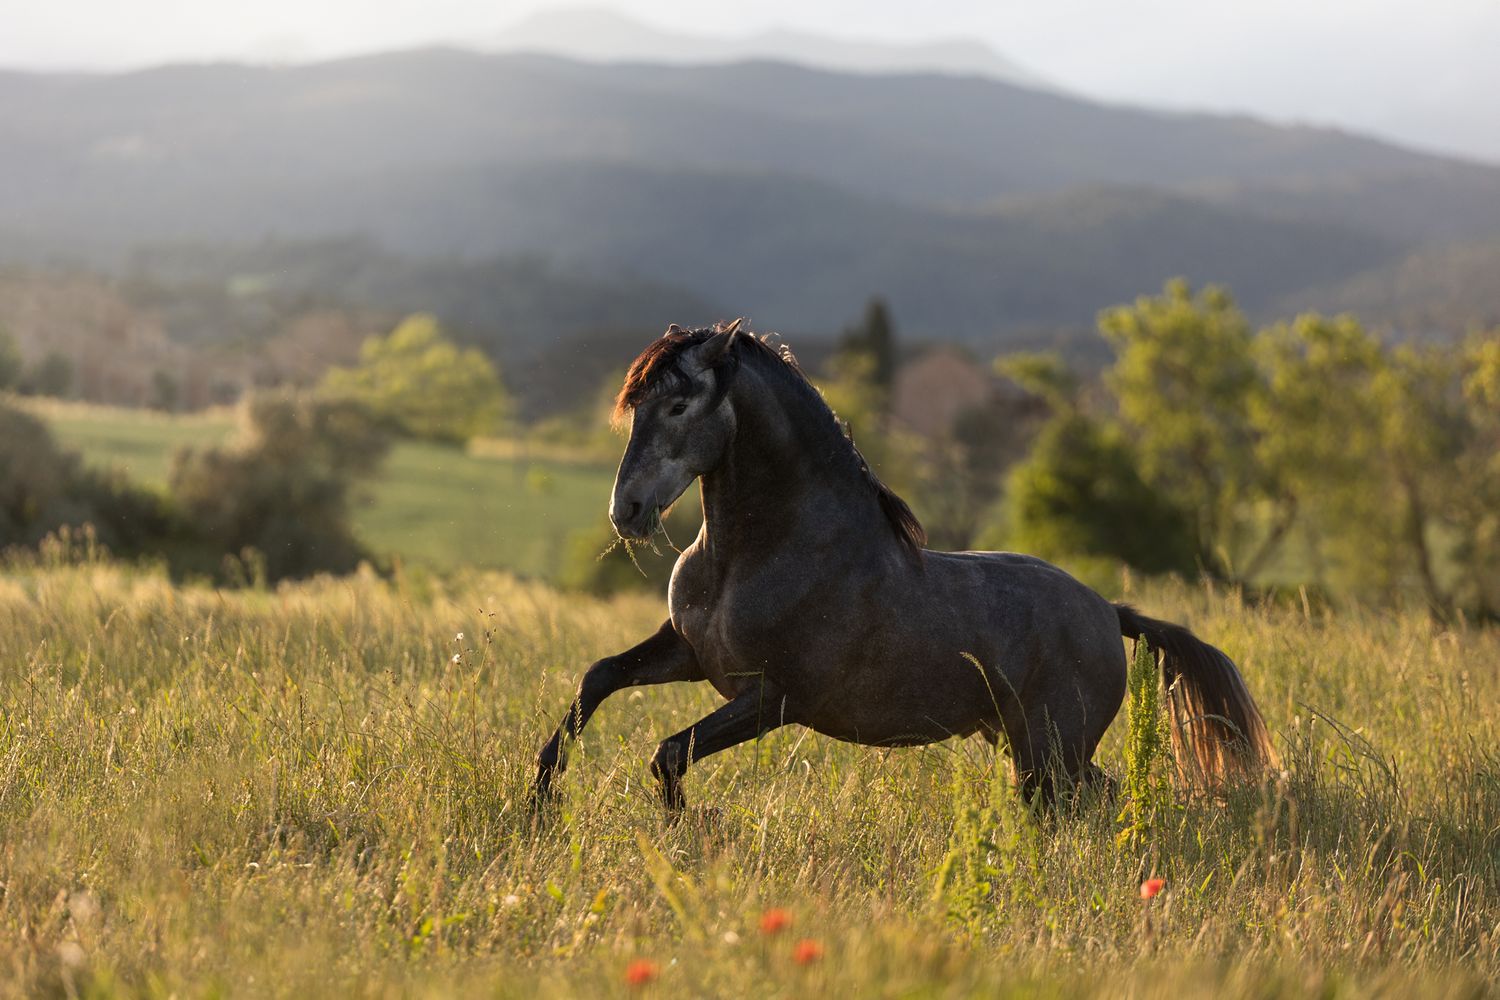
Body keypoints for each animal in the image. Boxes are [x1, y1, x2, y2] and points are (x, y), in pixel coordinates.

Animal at [533, 320, 1276, 813]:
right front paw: (541, 796)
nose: (626, 511)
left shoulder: (775, 698)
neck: (757, 556)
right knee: (1098, 796)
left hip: (1051, 750)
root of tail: (1108, 612)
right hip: (1022, 742)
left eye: (680, 404)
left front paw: (690, 828)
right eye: (636, 404)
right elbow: (599, 679)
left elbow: (668, 754)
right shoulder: (690, 654)